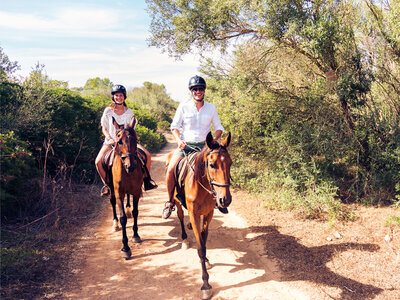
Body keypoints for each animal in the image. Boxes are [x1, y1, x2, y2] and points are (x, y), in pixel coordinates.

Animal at [168, 132, 231, 300]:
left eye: (230, 163)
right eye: (212, 165)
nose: (225, 200)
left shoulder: (208, 213)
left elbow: (203, 239)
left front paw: (207, 259)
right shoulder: (194, 214)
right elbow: (200, 247)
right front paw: (206, 285)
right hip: (177, 202)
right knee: (180, 217)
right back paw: (184, 239)